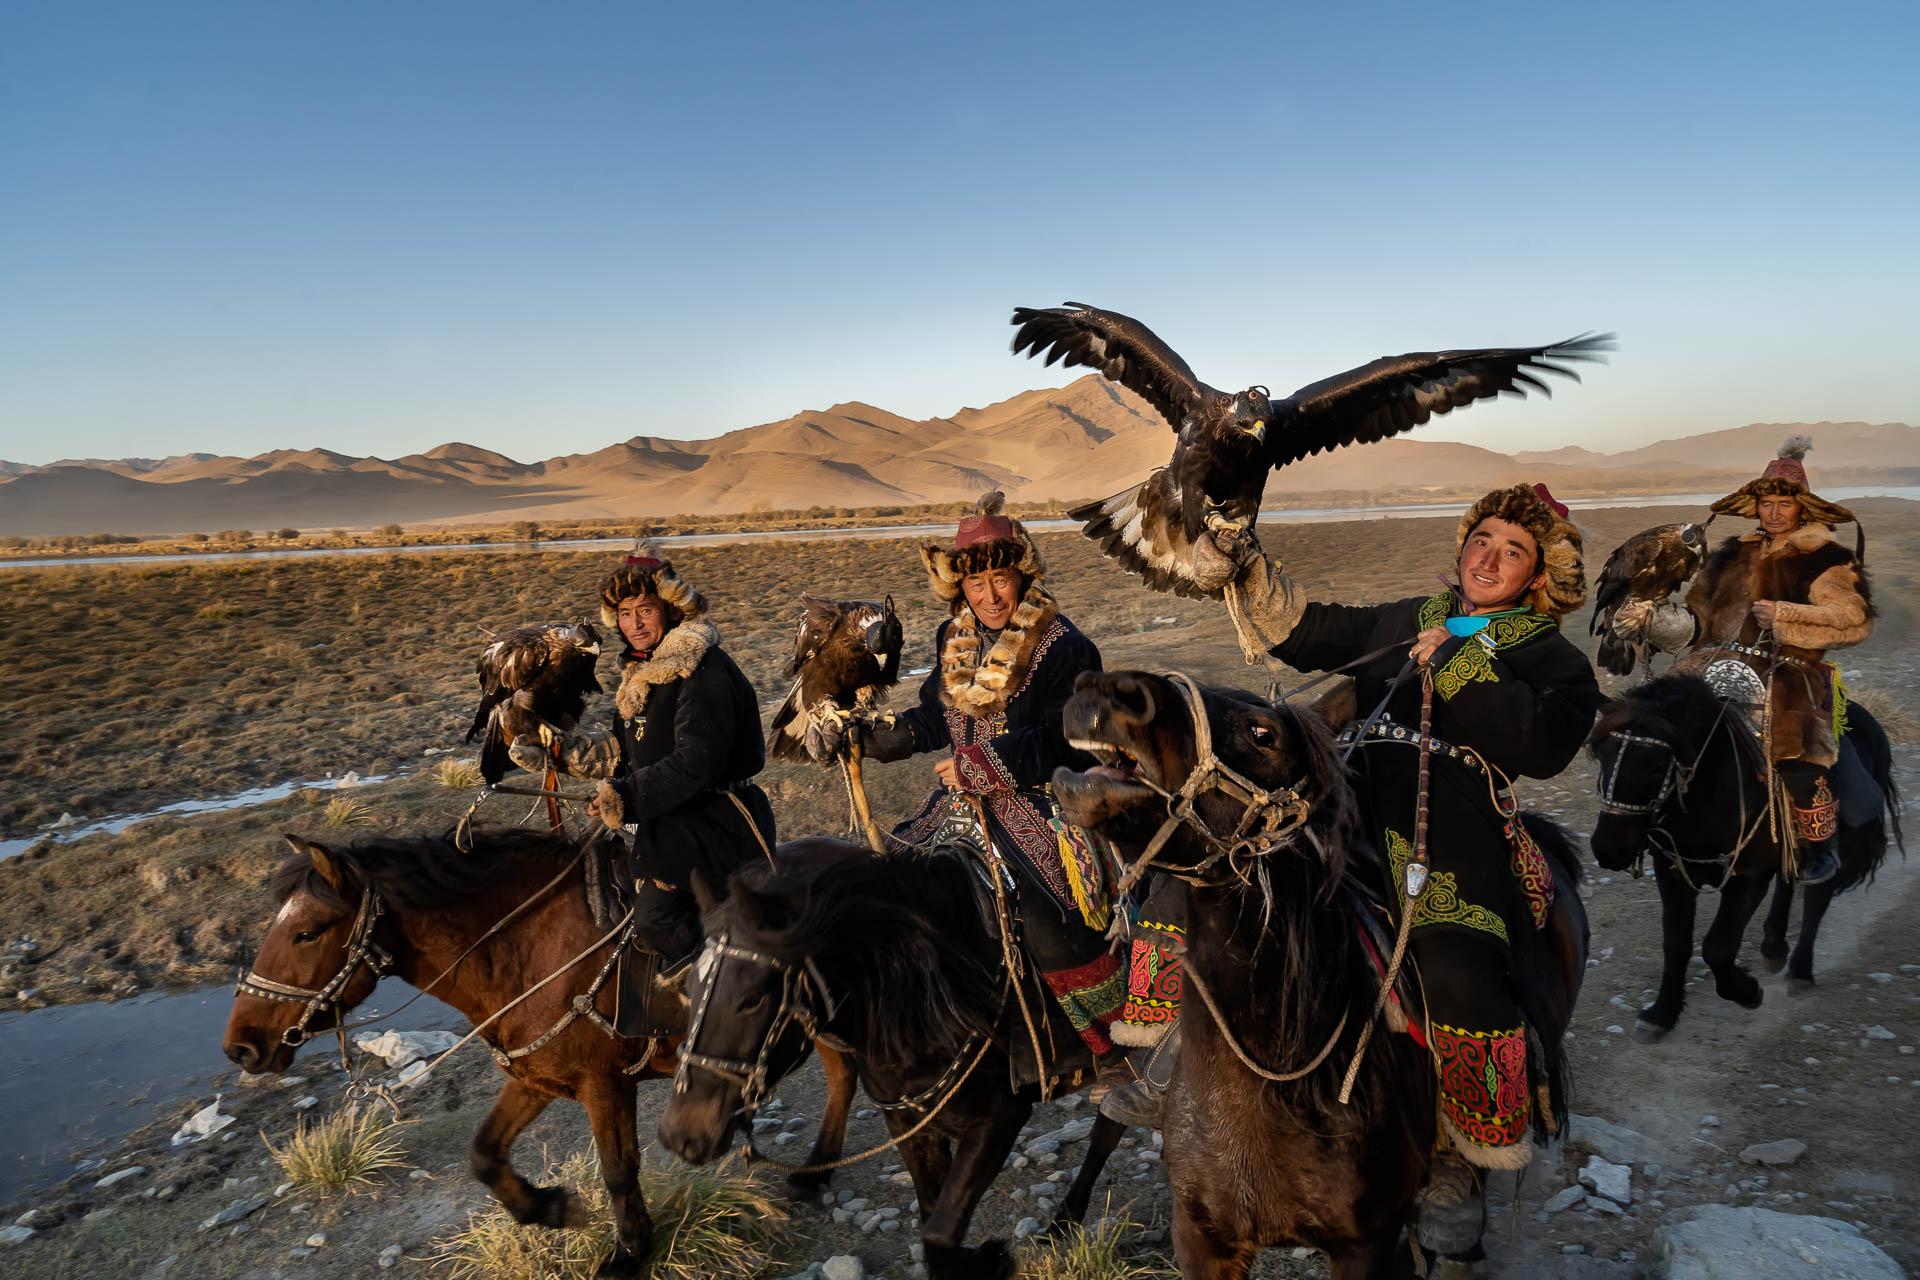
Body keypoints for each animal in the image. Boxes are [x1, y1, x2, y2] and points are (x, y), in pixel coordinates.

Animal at [220, 832, 860, 1280]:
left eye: (307, 932)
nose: (241, 1046)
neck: (527, 949)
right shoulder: (537, 1077)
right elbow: (484, 1154)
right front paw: (553, 1210)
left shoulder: (606, 1083)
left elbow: (618, 1170)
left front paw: (630, 1252)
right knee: (842, 1076)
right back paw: (816, 1170)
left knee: (847, 1075)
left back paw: (816, 1168)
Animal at [656, 840, 1121, 1280]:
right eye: (688, 988)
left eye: (752, 999)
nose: (681, 1134)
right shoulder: (910, 1125)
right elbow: (935, 1226)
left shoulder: (999, 1119)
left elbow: (940, 1232)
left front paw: (992, 1260)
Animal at [1582, 671, 1896, 1043]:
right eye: (1602, 755)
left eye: (1658, 766)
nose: (1608, 849)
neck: (1711, 793)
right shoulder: (1672, 873)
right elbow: (1676, 945)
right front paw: (1662, 1014)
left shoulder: (1748, 877)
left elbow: (1717, 947)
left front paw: (1746, 992)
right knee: (1789, 880)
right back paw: (1774, 946)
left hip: (1835, 841)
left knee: (1817, 897)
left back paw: (1800, 971)